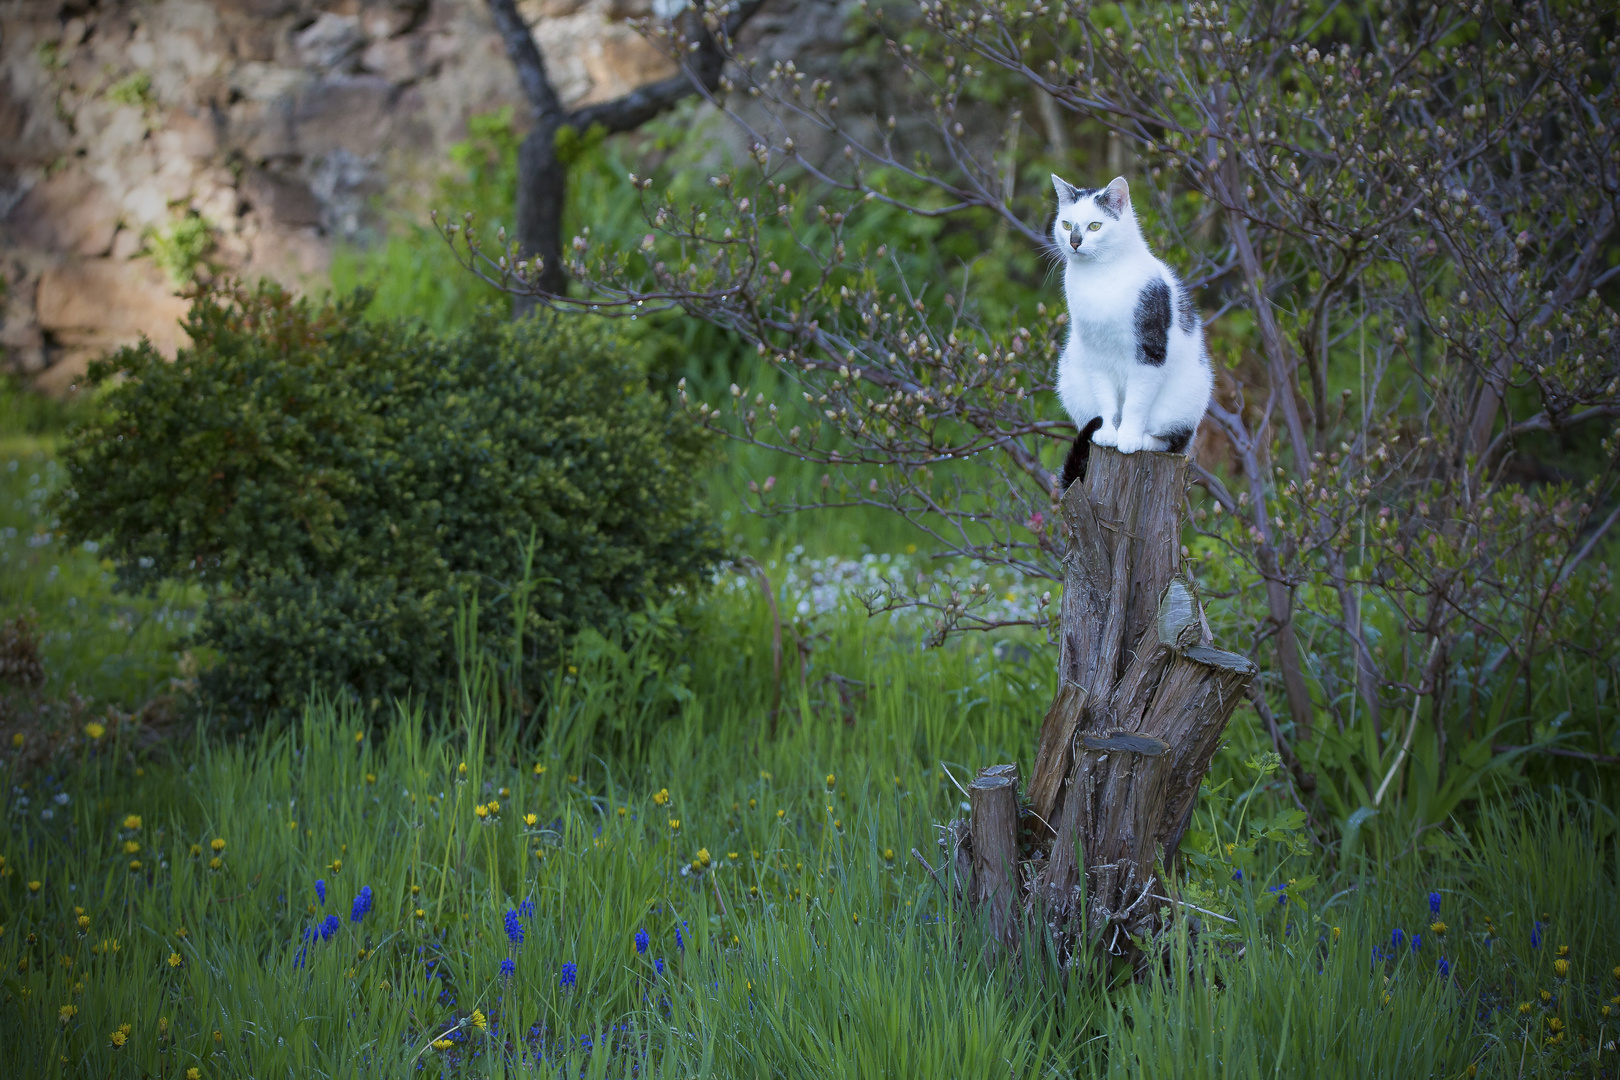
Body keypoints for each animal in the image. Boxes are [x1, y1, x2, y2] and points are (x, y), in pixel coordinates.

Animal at [1049, 175, 1218, 492]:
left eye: (1095, 226)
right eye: (1066, 224)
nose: (1074, 242)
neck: (1099, 279)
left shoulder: (1150, 351)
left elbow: (1137, 402)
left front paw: (1127, 437)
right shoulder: (1095, 354)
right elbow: (1106, 398)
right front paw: (1108, 432)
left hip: (1185, 400)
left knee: (1173, 441)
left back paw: (1145, 440)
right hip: (1072, 381)